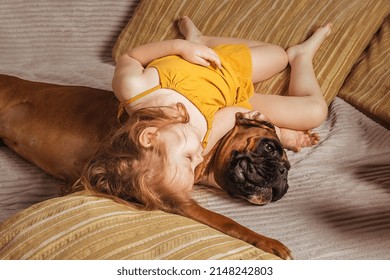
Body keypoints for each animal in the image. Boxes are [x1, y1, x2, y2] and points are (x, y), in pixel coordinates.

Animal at [0, 74, 292, 258]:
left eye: (287, 172)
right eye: (269, 147)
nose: (283, 178)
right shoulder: (177, 199)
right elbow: (229, 222)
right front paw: (269, 242)